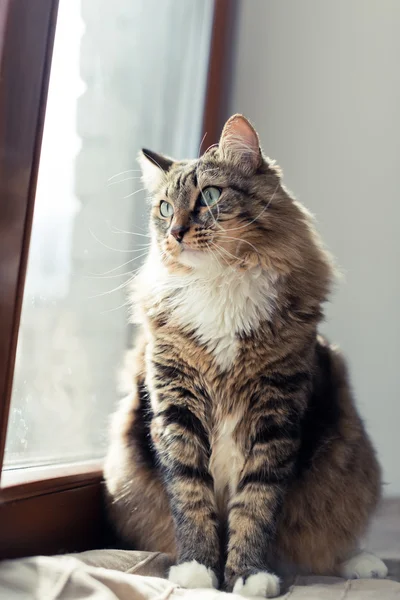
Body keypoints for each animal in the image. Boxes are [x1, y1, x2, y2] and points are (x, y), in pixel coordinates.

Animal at [103, 115, 388, 596]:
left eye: (210, 196)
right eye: (164, 208)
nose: (176, 232)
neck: (218, 286)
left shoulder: (274, 416)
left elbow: (255, 506)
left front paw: (248, 576)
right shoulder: (176, 408)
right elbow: (190, 497)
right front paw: (198, 570)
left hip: (349, 468)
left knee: (330, 544)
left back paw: (365, 564)